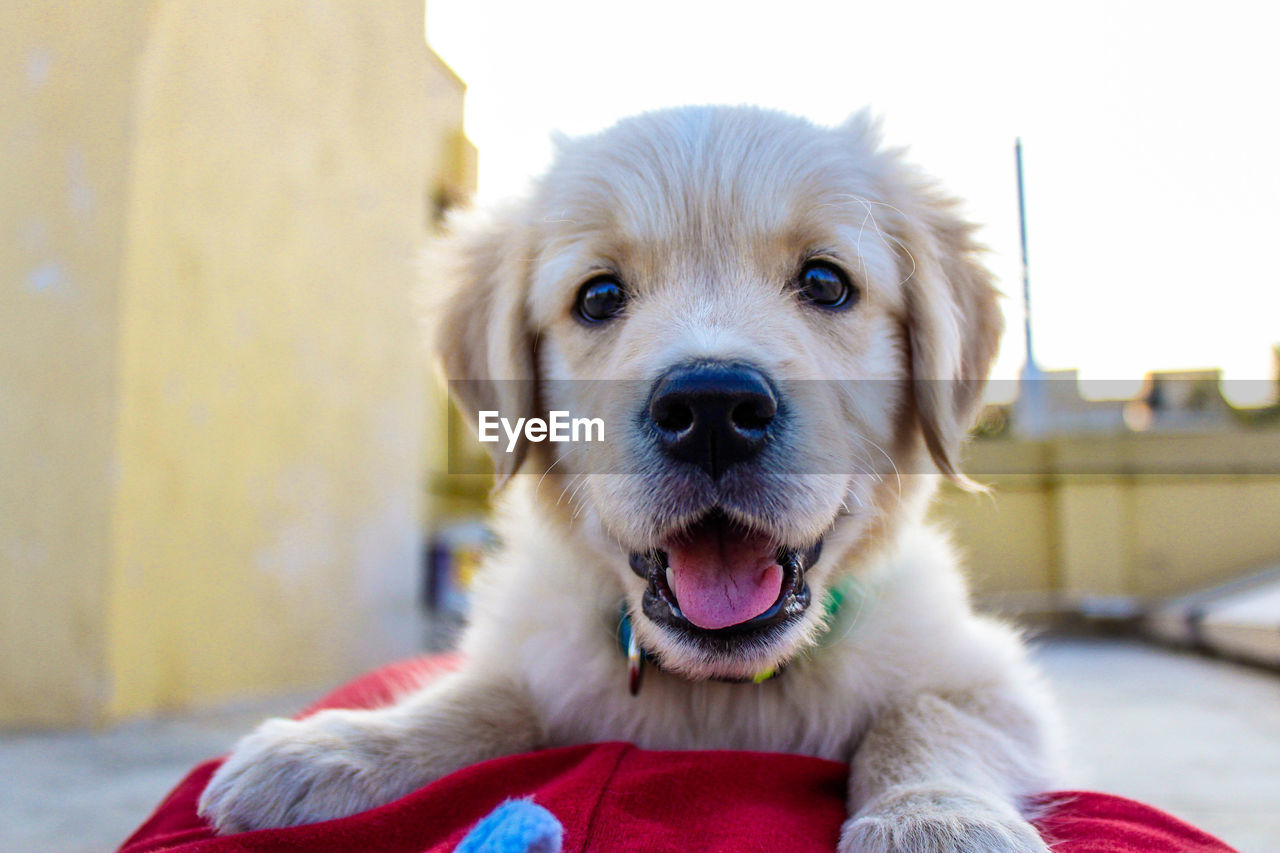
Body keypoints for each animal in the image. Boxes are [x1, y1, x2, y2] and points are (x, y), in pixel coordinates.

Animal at [197, 106, 1059, 850]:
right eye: (600, 295)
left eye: (825, 283)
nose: (712, 408)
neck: (718, 690)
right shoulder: (539, 657)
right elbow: (479, 696)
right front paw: (335, 747)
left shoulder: (992, 680)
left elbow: (924, 717)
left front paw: (934, 820)